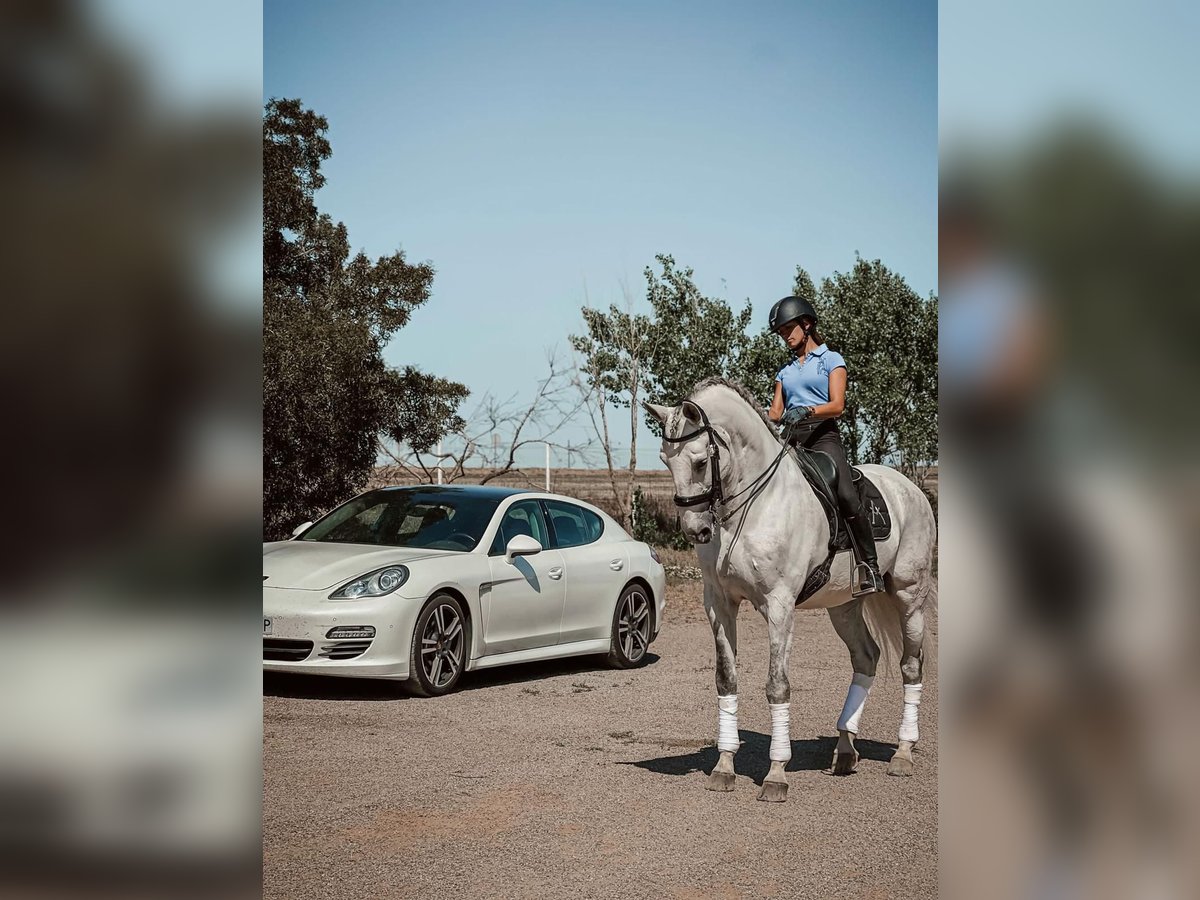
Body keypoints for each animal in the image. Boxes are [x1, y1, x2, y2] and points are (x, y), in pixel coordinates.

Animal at [648, 379, 936, 801]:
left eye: (700, 462)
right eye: (666, 461)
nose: (696, 530)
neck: (750, 507)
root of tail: (909, 487)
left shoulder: (779, 605)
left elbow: (777, 686)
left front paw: (776, 775)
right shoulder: (719, 604)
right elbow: (726, 679)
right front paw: (723, 767)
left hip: (909, 595)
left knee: (910, 666)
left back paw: (902, 754)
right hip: (843, 605)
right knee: (866, 657)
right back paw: (845, 751)